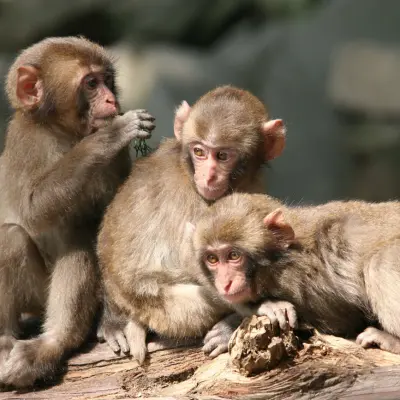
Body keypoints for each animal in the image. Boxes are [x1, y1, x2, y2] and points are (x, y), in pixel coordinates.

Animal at [0, 36, 155, 388]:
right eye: (91, 83)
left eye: (108, 80)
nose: (111, 99)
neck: (64, 133)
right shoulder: (25, 141)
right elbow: (31, 211)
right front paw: (110, 136)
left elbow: (115, 229)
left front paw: (115, 323)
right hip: (35, 299)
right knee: (11, 238)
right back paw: (11, 340)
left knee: (78, 240)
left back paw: (53, 343)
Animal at [97, 84, 290, 362]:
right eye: (199, 152)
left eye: (222, 155)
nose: (208, 176)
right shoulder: (196, 202)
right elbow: (197, 259)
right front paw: (260, 306)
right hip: (166, 312)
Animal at [191, 194, 400, 354]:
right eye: (212, 259)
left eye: (234, 255)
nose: (225, 283)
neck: (282, 259)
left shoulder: (303, 283)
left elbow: (340, 324)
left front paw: (266, 307)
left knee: (379, 264)